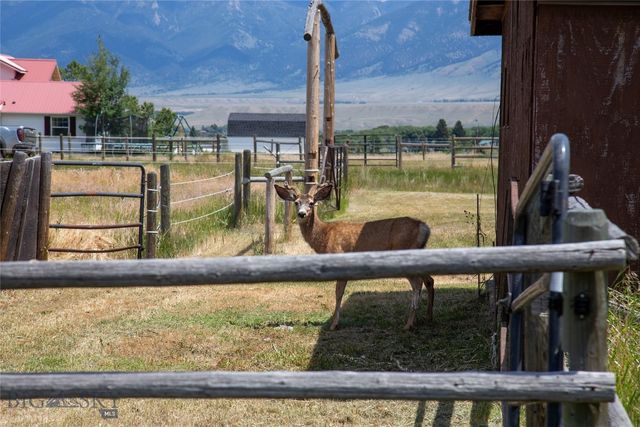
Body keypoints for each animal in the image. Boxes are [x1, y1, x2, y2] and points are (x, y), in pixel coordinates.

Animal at [274, 182, 434, 330]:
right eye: (296, 202)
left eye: (311, 203)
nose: (302, 214)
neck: (325, 235)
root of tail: (424, 227)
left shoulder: (339, 259)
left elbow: (338, 294)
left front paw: (334, 324)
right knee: (429, 280)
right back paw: (427, 317)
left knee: (417, 284)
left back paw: (409, 324)